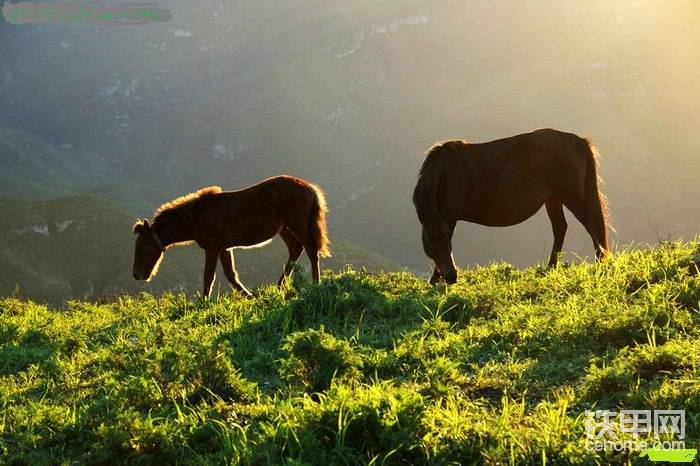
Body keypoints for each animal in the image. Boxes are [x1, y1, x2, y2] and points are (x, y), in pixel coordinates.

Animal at [133, 175, 332, 298]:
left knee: (311, 250)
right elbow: (231, 276)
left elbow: (208, 277)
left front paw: (203, 303)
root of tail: (307, 186)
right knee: (295, 250)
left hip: (297, 226)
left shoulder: (213, 249)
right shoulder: (224, 248)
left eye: (141, 247)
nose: (136, 275)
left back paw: (316, 283)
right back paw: (279, 286)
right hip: (285, 229)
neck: (199, 216)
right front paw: (250, 296)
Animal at [412, 127, 608, 284]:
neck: (445, 173)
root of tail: (579, 141)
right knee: (561, 227)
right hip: (553, 199)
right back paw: (551, 268)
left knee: (593, 227)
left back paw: (602, 266)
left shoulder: (449, 216)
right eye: (430, 241)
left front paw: (434, 281)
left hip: (572, 197)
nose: (452, 277)